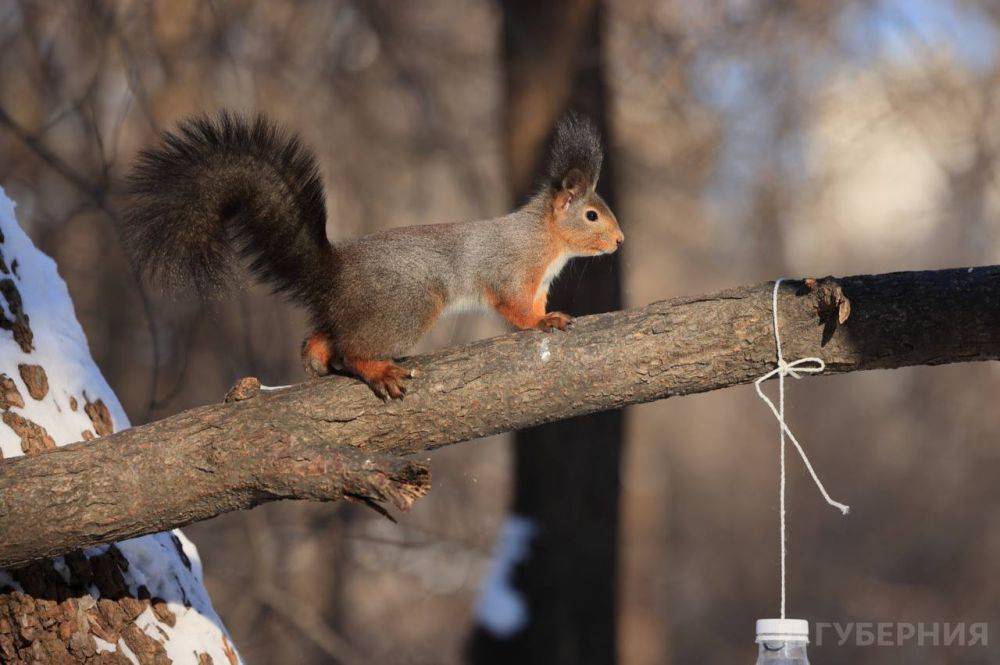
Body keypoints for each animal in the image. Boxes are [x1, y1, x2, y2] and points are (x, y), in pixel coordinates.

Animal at [123, 111, 624, 396]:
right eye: (592, 216)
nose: (620, 241)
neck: (547, 241)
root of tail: (331, 275)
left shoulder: (538, 281)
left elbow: (535, 302)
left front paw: (548, 314)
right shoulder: (511, 270)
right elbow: (515, 308)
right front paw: (541, 323)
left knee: (327, 338)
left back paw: (316, 357)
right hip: (405, 308)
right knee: (354, 350)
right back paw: (378, 371)